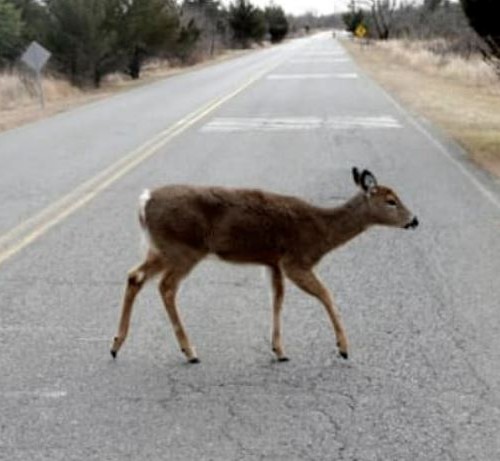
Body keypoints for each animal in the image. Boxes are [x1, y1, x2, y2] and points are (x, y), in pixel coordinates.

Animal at [110, 167, 418, 362]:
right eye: (391, 200)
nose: (414, 220)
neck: (322, 231)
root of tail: (144, 202)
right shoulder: (296, 260)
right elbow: (326, 294)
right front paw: (343, 348)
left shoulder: (274, 262)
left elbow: (277, 300)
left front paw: (279, 350)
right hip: (184, 249)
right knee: (166, 287)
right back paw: (190, 351)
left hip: (162, 249)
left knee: (134, 276)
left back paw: (116, 345)